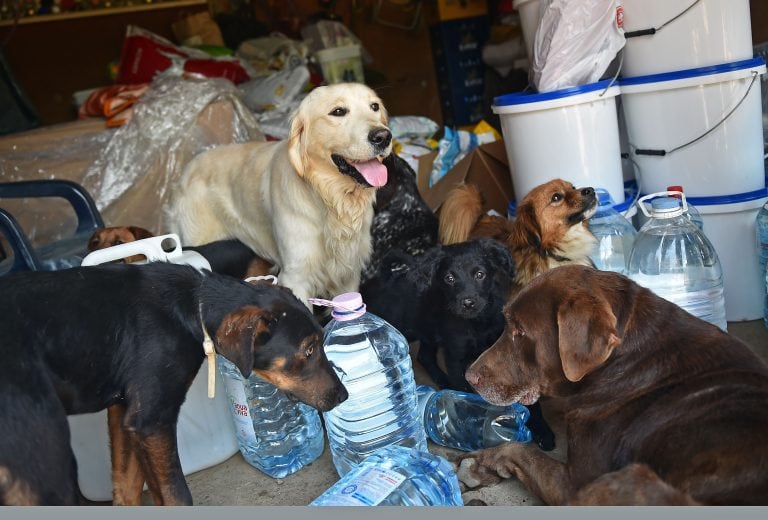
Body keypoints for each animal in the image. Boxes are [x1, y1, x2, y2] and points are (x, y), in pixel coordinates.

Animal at [0, 262, 348, 506]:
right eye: (308, 350)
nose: (343, 395)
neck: (193, 305)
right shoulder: (152, 420)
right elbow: (177, 495)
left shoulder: (126, 412)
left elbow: (126, 486)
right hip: (46, 462)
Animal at [364, 238, 556, 448]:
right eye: (449, 278)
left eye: (480, 274)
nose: (468, 303)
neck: (478, 323)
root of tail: (389, 278)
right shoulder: (456, 358)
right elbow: (464, 390)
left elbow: (532, 401)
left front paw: (543, 431)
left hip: (428, 331)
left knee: (425, 356)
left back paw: (442, 380)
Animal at [452, 264, 768, 504]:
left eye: (520, 331)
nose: (469, 376)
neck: (621, 358)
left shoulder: (573, 484)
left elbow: (521, 449)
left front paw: (478, 462)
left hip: (625, 478)